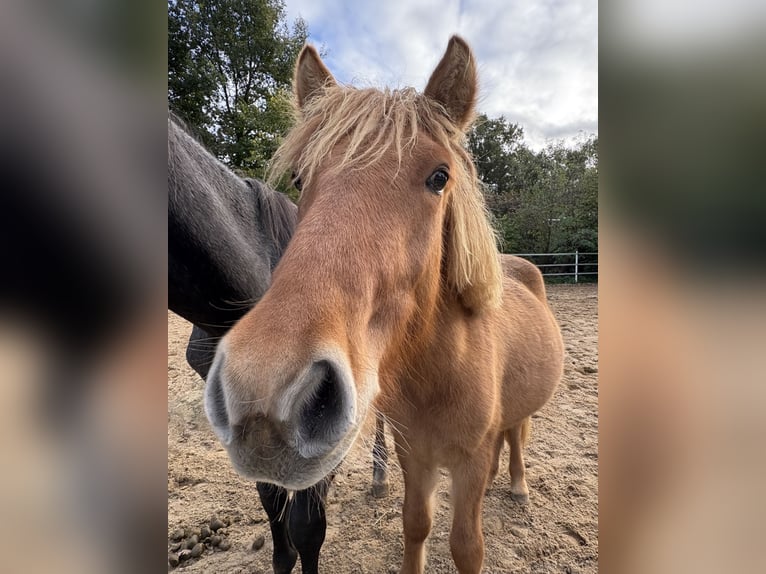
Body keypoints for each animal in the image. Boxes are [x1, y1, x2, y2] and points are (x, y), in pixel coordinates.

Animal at [204, 36, 564, 574]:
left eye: (440, 177)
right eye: (298, 177)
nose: (265, 397)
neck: (441, 372)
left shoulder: (468, 463)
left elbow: (467, 547)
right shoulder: (412, 453)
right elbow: (415, 525)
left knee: (518, 434)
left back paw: (518, 487)